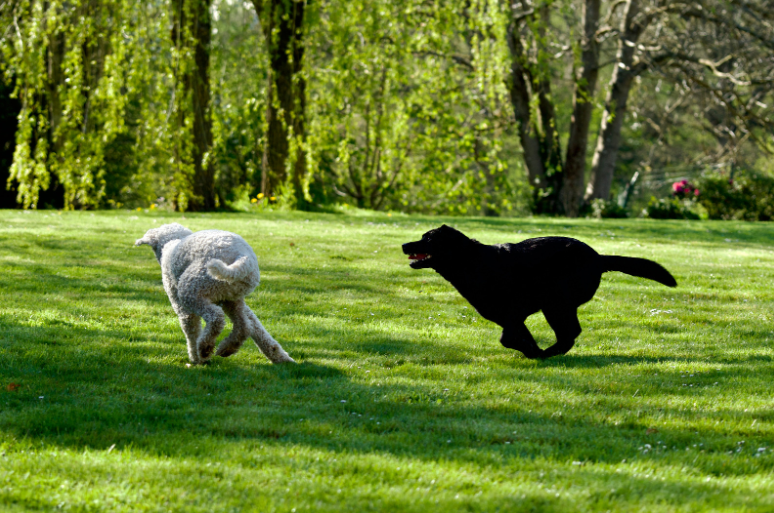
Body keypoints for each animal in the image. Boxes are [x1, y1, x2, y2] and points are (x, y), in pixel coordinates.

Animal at [135, 223, 296, 364]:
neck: (172, 243)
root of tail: (243, 256)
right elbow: (257, 328)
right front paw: (279, 356)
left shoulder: (181, 307)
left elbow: (191, 330)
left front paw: (196, 359)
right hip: (233, 297)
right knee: (245, 326)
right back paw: (227, 348)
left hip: (191, 291)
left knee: (216, 318)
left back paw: (204, 348)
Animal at [404, 226, 676, 358]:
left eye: (428, 239)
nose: (404, 245)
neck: (470, 261)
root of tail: (599, 258)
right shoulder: (512, 318)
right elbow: (520, 336)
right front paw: (531, 350)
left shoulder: (513, 313)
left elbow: (507, 339)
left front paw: (534, 353)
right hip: (557, 304)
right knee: (570, 333)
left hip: (556, 301)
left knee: (570, 333)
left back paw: (549, 353)